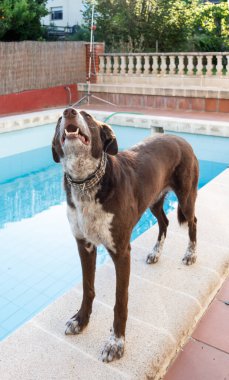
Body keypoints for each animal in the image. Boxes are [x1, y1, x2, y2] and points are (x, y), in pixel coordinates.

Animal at [52, 107, 199, 362]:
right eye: (59, 119)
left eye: (87, 115)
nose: (69, 111)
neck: (86, 182)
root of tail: (181, 139)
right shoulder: (84, 245)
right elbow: (87, 288)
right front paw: (81, 320)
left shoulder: (121, 251)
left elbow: (120, 301)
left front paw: (116, 342)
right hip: (154, 200)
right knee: (164, 222)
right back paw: (155, 253)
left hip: (186, 198)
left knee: (192, 222)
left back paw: (190, 253)